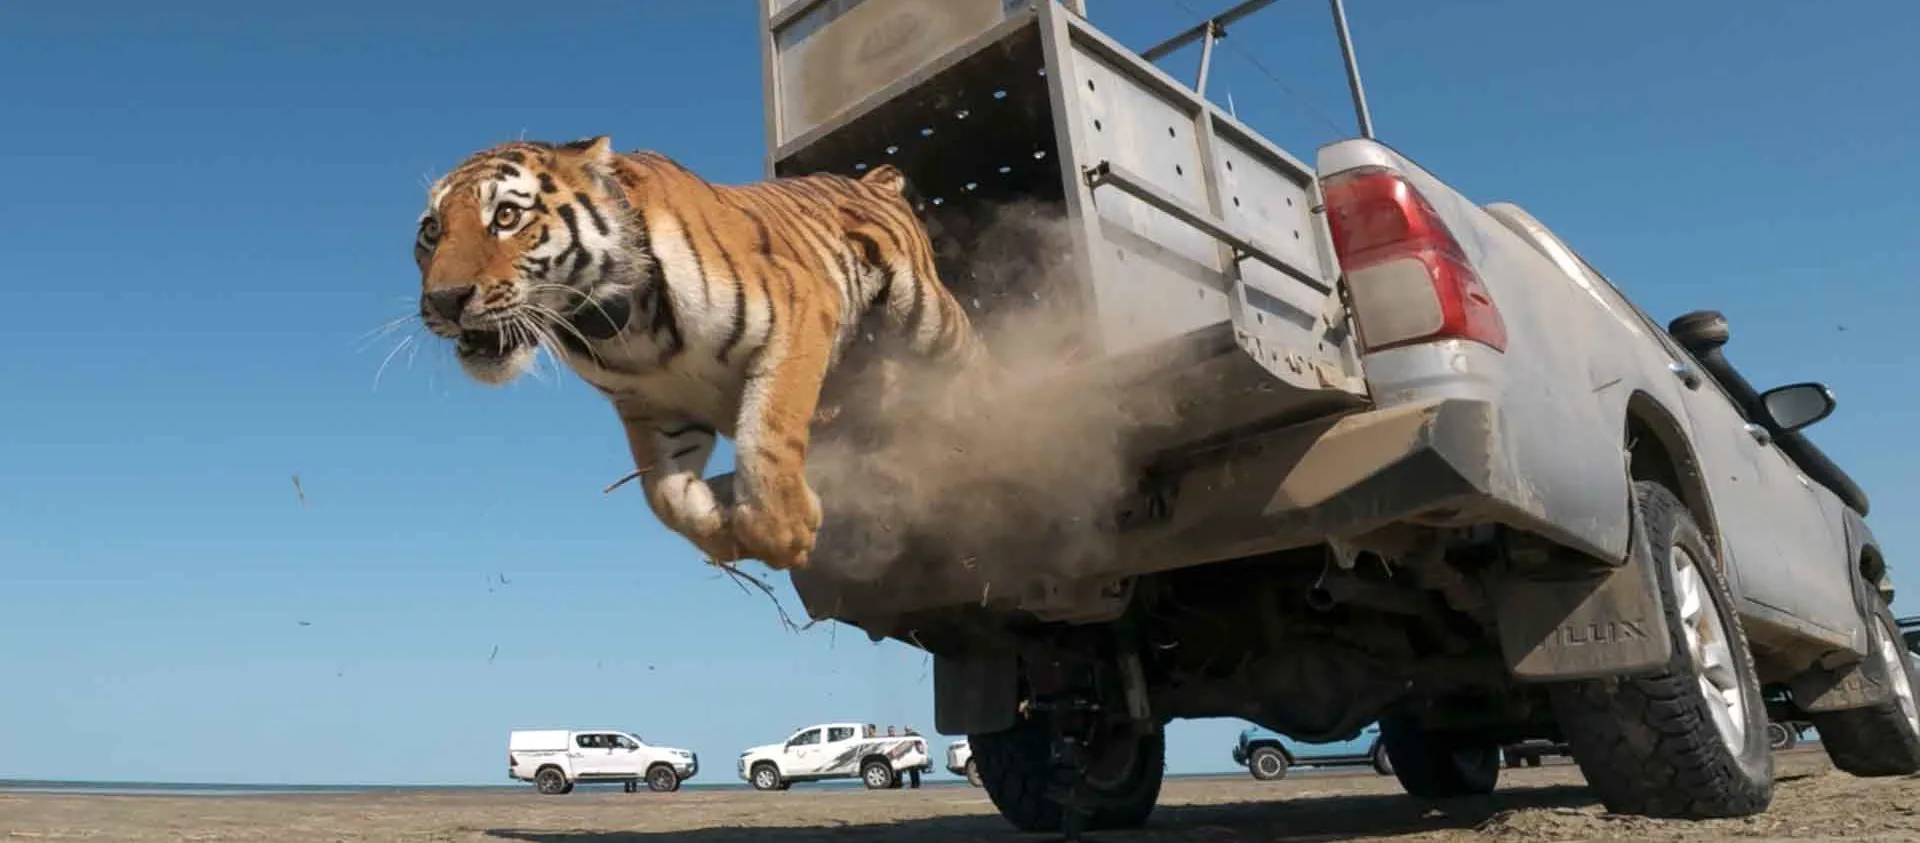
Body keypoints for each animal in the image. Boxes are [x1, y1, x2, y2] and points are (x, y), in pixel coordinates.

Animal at [412, 135, 986, 572]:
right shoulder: (651, 406)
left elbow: (767, 437)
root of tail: (872, 179)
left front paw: (787, 533)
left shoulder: (798, 308)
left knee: (970, 354)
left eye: (507, 216)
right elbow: (665, 497)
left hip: (925, 314)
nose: (444, 300)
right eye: (431, 232)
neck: (616, 324)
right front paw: (722, 526)